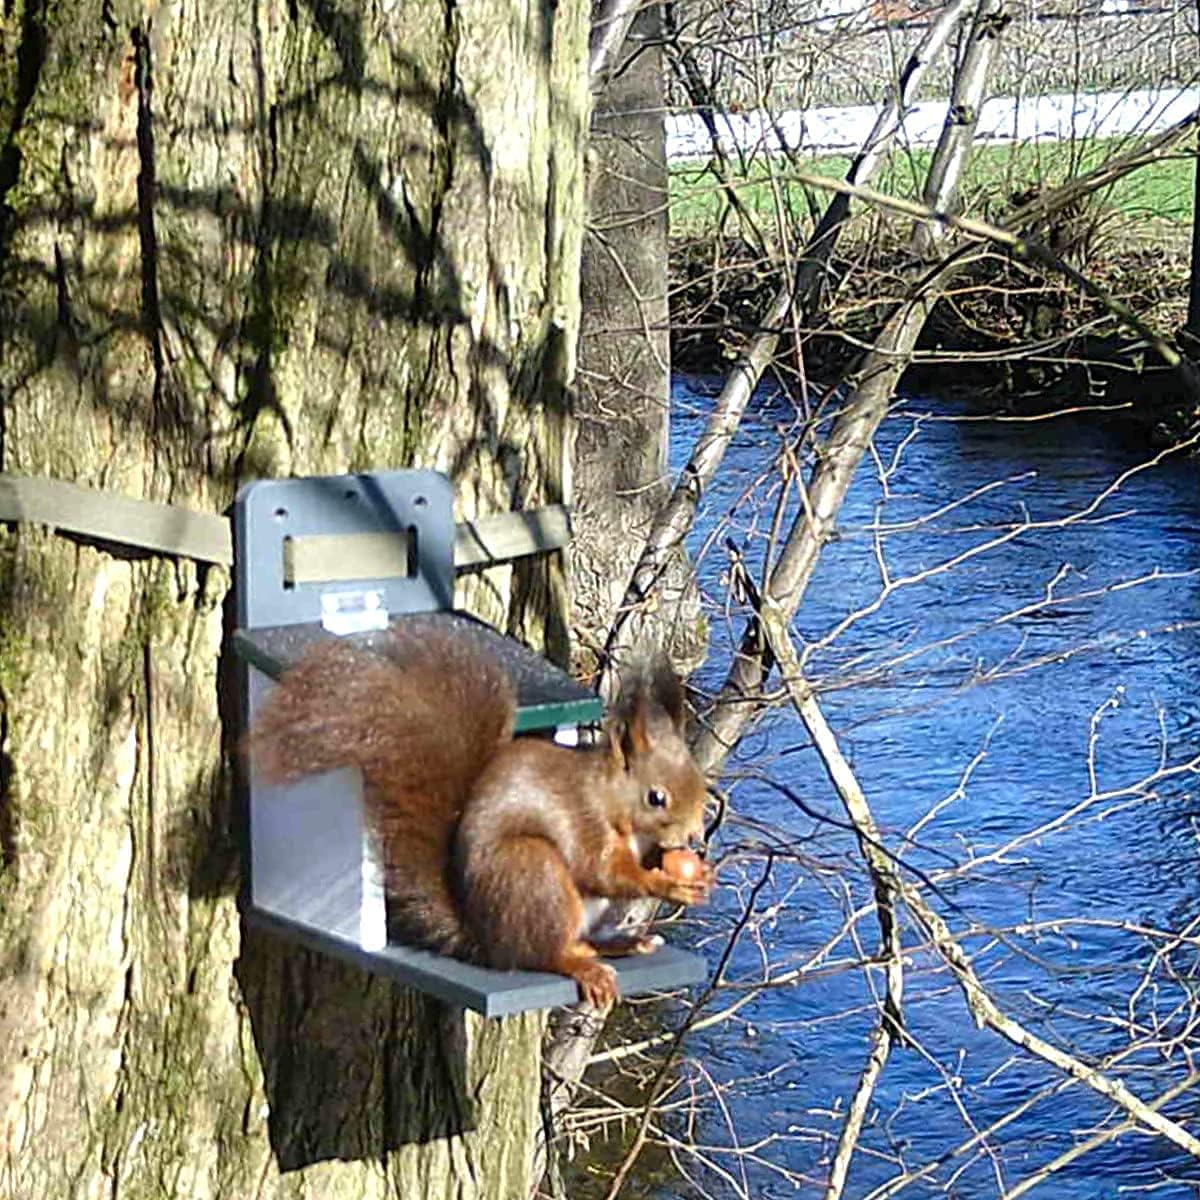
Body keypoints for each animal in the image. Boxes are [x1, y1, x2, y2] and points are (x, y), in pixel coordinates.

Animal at [249, 617, 714, 1007]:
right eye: (656, 798)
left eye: (698, 782)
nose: (694, 838)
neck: (610, 799)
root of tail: (486, 940)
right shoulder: (584, 821)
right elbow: (602, 870)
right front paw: (666, 883)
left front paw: (695, 875)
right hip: (533, 872)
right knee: (546, 953)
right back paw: (583, 965)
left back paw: (625, 943)